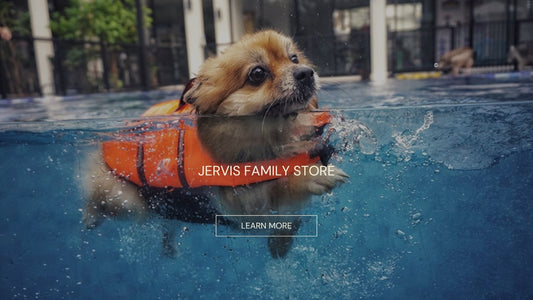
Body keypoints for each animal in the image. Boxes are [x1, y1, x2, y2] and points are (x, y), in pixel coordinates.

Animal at [82, 31, 348, 258]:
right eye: (257, 73)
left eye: (294, 58)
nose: (306, 72)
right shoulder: (241, 204)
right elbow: (279, 185)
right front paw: (313, 175)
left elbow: (289, 217)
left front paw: (280, 244)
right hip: (123, 198)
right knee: (101, 202)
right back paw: (89, 218)